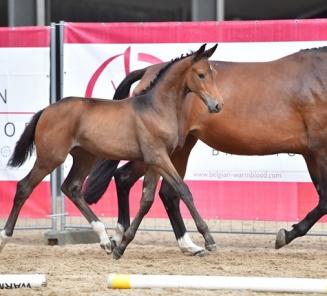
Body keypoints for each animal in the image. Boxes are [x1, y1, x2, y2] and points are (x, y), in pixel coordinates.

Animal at [0, 44, 223, 260]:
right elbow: (182, 190)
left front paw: (121, 246)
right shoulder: (158, 157)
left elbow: (147, 200)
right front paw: (209, 239)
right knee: (24, 188)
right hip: (49, 158)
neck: (155, 108)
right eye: (201, 74)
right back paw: (4, 238)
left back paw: (106, 240)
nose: (217, 105)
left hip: (85, 157)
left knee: (71, 187)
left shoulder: (155, 162)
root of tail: (45, 110)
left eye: (213, 74)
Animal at [84, 45, 327, 252]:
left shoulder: (311, 154)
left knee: (166, 192)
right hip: (158, 151)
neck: (319, 79)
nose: (217, 104)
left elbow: (322, 199)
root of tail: (149, 72)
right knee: (126, 178)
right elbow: (324, 201)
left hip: (179, 149)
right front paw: (285, 235)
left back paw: (186, 244)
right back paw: (119, 237)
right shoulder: (319, 152)